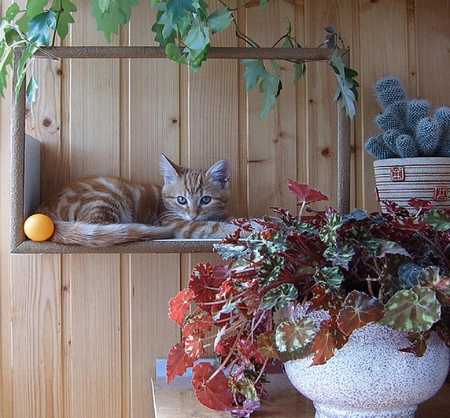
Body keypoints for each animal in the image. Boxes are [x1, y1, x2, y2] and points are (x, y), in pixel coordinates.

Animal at [36, 157, 241, 248]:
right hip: (104, 198)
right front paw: (239, 229)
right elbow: (210, 227)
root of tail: (45, 208)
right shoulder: (175, 223)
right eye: (181, 200)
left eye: (206, 199)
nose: (193, 215)